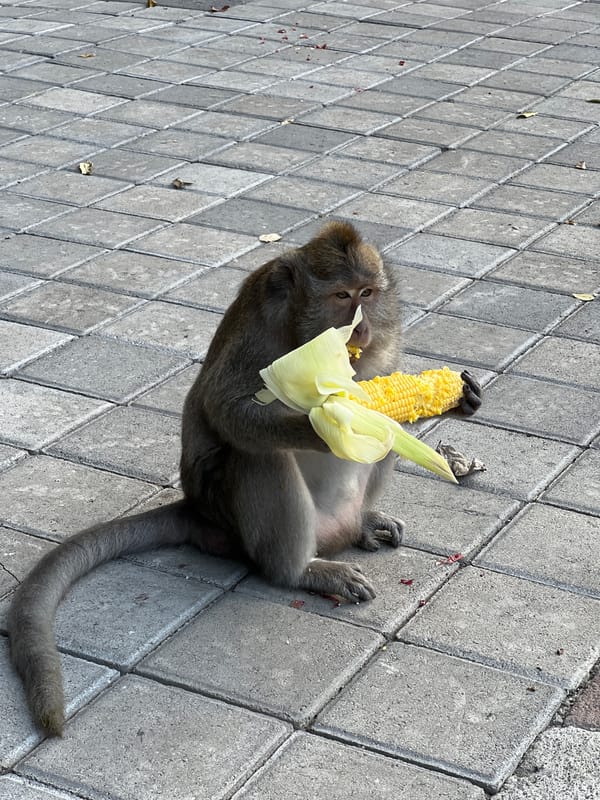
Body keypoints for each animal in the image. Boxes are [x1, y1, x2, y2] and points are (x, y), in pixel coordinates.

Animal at [7, 221, 481, 738]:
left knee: (383, 442)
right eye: (341, 295)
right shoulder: (261, 328)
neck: (300, 329)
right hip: (231, 516)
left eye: (368, 293)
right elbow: (228, 410)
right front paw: (321, 422)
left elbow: (389, 384)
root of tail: (198, 513)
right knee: (256, 455)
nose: (361, 327)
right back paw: (300, 570)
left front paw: (457, 399)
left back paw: (363, 522)